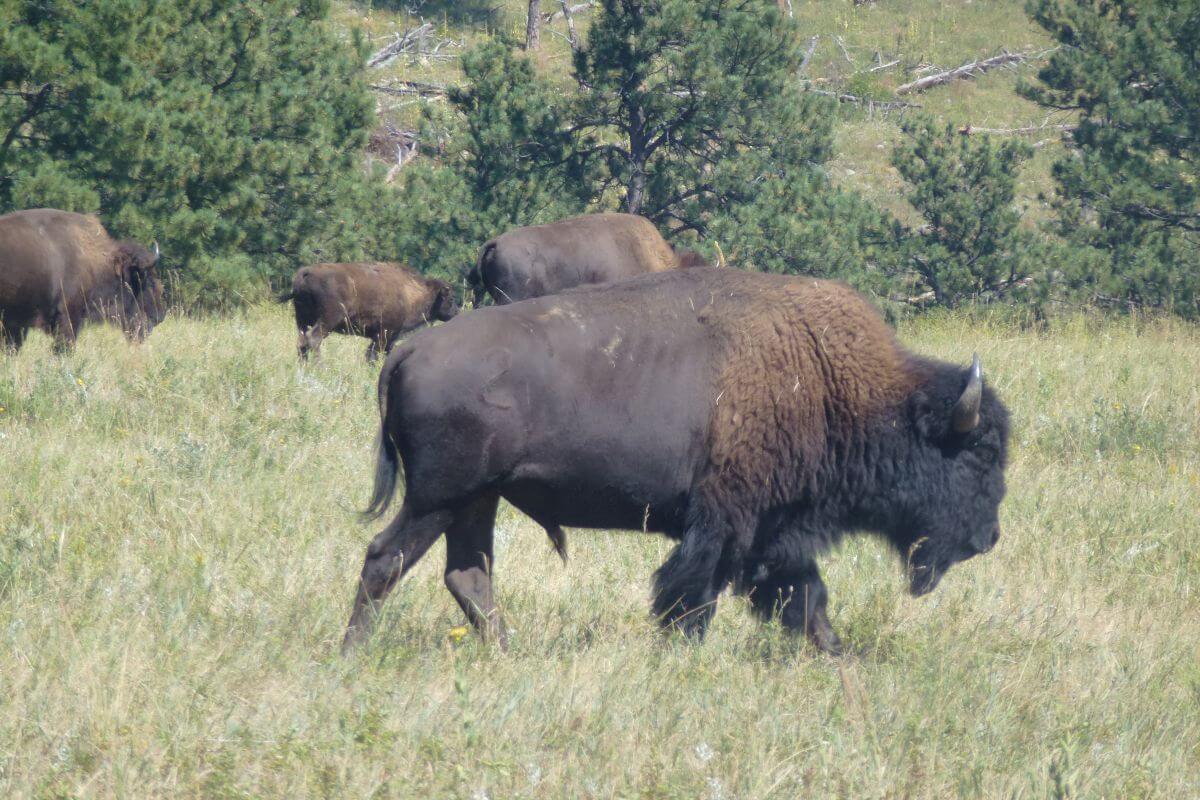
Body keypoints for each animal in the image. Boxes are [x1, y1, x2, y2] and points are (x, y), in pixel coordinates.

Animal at [278, 261, 459, 361]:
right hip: (327, 320)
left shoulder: (387, 338)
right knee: (314, 339)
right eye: (450, 299)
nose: (456, 313)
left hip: (302, 320)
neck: (411, 293)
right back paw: (320, 367)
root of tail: (306, 273)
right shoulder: (383, 335)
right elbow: (372, 355)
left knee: (301, 343)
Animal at [342, 268, 1010, 656]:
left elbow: (806, 599)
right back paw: (354, 653)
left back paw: (507, 653)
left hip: (477, 501)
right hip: (439, 498)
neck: (832, 384)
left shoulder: (774, 533)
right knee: (385, 559)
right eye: (980, 453)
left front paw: (836, 654)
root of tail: (410, 351)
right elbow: (693, 596)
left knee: (468, 575)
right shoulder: (726, 524)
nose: (989, 538)